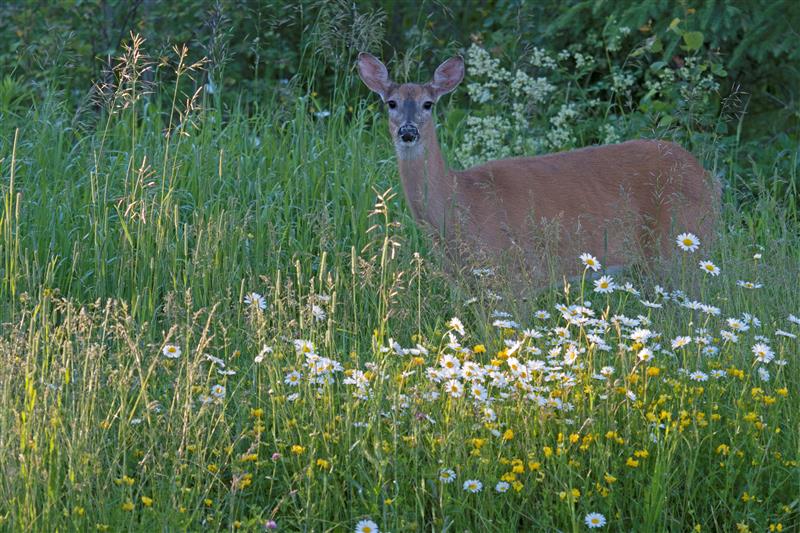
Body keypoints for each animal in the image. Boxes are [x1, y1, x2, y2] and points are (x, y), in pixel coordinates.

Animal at [356, 52, 720, 284]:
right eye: (391, 102)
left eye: (428, 104)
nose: (408, 132)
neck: (463, 202)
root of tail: (707, 176)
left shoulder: (521, 275)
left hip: (680, 242)